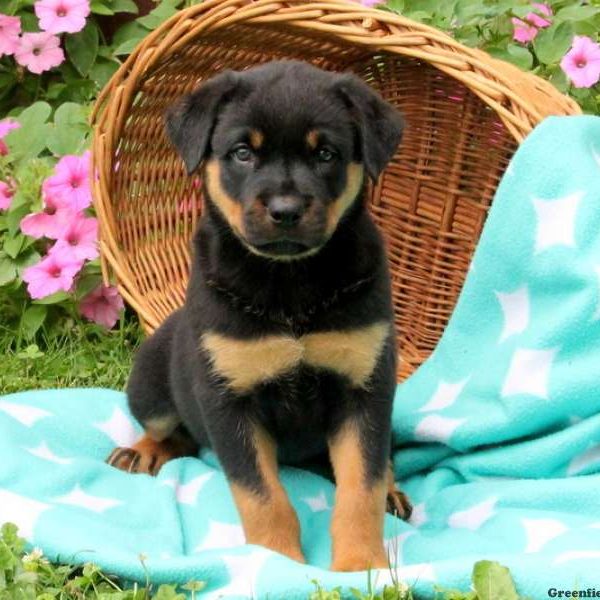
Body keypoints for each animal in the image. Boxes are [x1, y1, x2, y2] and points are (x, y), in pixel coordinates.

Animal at [106, 61, 412, 572]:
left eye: (325, 153)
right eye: (243, 152)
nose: (285, 210)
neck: (289, 285)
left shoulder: (364, 388)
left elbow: (361, 487)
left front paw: (361, 565)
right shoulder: (228, 398)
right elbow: (262, 495)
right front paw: (276, 561)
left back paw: (393, 489)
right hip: (150, 382)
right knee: (172, 431)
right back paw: (141, 452)